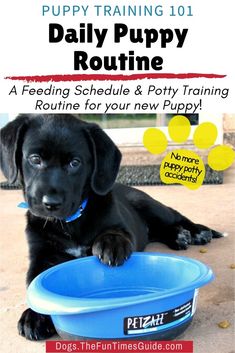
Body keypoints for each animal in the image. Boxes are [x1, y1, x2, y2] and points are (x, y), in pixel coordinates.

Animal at [0, 114, 222, 340]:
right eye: (35, 159)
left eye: (74, 163)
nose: (51, 203)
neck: (70, 222)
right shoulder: (41, 255)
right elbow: (34, 283)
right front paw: (34, 315)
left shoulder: (122, 226)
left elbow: (115, 232)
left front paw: (111, 245)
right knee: (159, 230)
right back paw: (178, 236)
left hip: (149, 204)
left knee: (174, 216)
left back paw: (195, 231)